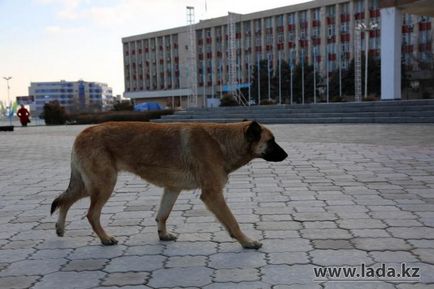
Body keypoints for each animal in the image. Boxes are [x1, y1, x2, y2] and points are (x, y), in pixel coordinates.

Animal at [50, 119, 286, 248]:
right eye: (272, 141)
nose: (286, 155)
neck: (222, 142)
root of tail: (83, 132)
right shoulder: (212, 195)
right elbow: (232, 222)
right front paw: (247, 242)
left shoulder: (172, 189)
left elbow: (162, 215)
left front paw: (162, 235)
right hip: (104, 185)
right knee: (91, 214)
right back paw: (105, 238)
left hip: (88, 186)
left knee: (64, 201)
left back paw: (60, 229)